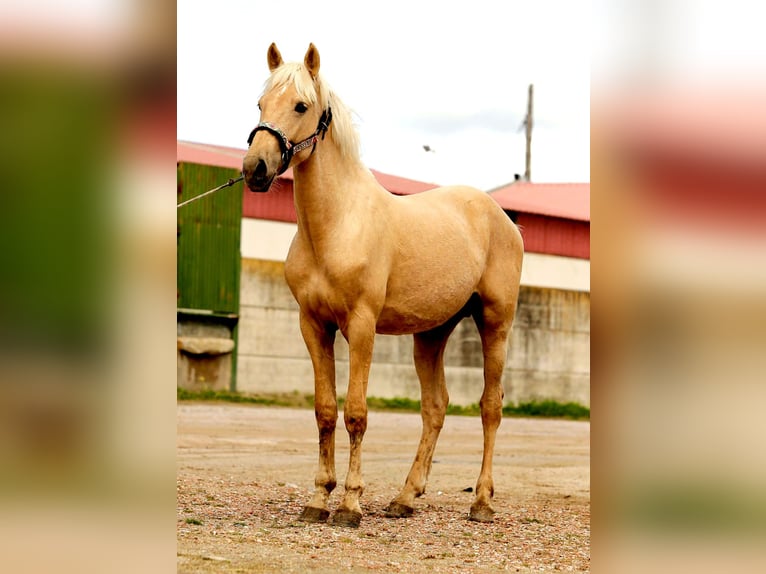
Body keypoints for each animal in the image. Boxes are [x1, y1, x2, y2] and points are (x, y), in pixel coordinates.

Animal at [243, 42, 524, 532]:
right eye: (260, 104)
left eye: (300, 105)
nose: (255, 168)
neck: (337, 225)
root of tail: (503, 218)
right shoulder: (313, 327)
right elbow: (324, 412)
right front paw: (318, 499)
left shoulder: (361, 326)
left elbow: (356, 414)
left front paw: (350, 506)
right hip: (431, 334)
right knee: (435, 406)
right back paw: (405, 498)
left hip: (495, 323)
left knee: (491, 406)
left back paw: (481, 502)